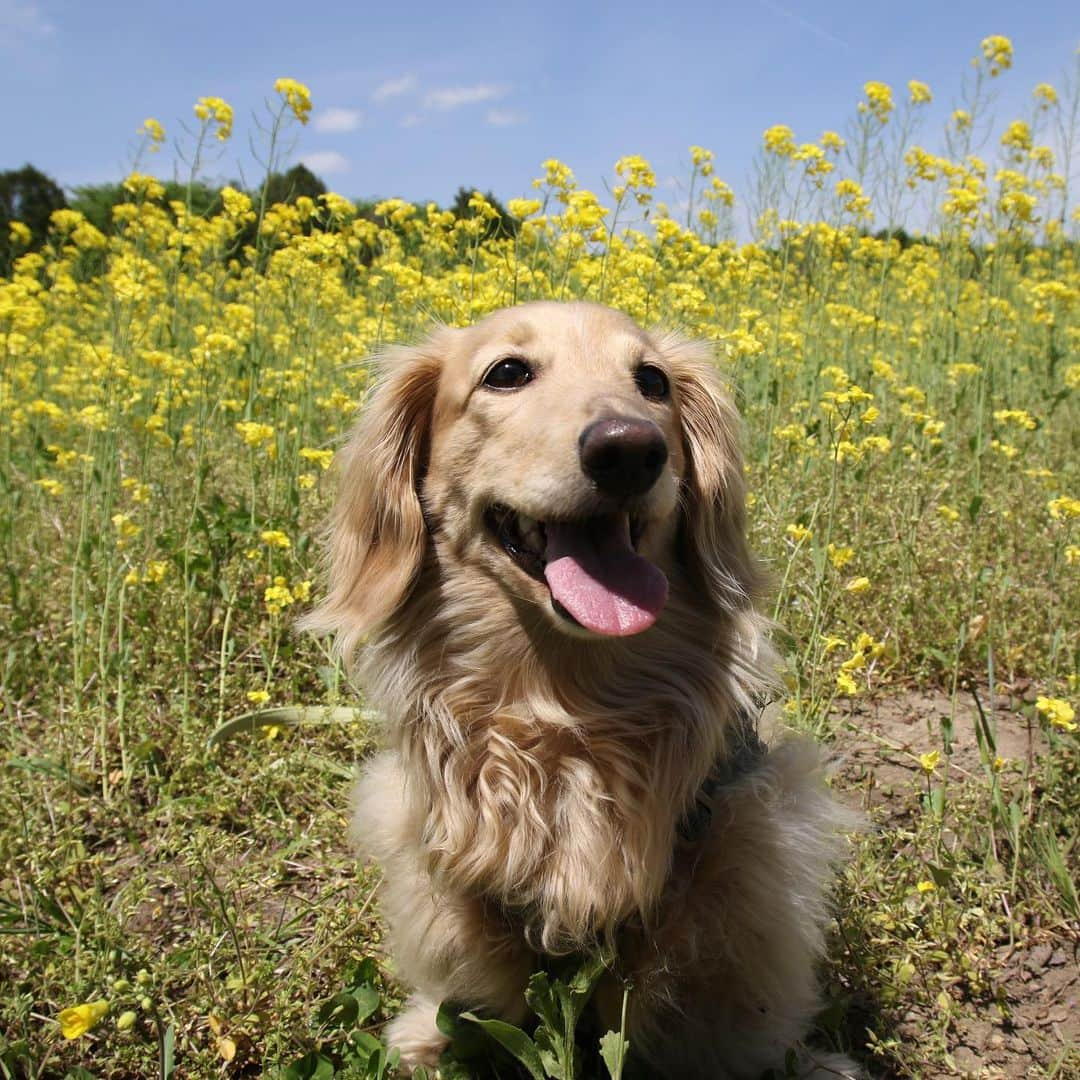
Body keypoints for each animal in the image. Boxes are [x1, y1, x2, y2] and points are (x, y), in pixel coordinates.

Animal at [304, 304, 859, 1080]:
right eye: (507, 372)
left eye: (652, 381)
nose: (630, 450)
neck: (564, 711)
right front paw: (432, 1033)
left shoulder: (738, 858)